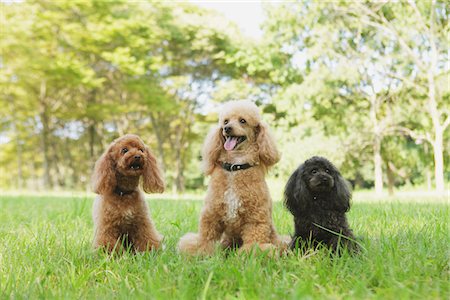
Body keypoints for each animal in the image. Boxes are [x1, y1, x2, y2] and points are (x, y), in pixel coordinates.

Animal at [178, 100, 286, 255]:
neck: (235, 166)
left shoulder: (256, 217)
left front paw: (253, 253)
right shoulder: (211, 213)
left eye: (243, 121)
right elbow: (206, 236)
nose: (227, 128)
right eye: (225, 121)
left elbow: (254, 239)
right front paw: (200, 252)